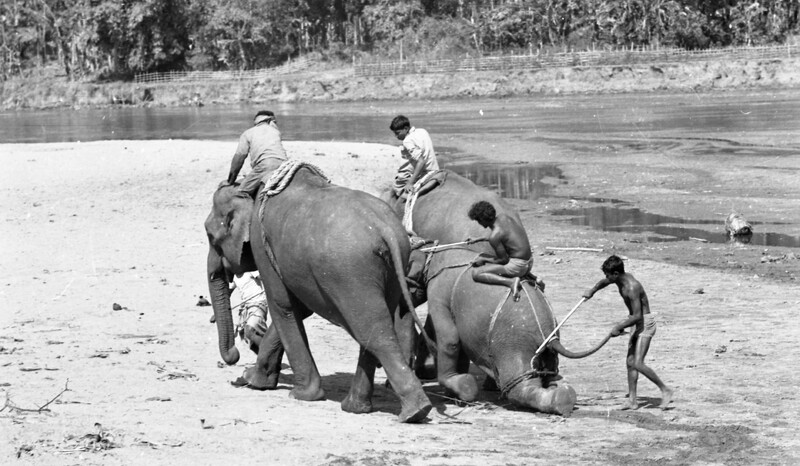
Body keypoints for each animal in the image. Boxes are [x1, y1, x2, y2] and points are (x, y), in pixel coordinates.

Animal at [205, 162, 433, 423]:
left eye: (211, 236)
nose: (234, 356)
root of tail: (386, 230)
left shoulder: (261, 243)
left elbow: (283, 305)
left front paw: (297, 393)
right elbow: (299, 308)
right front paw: (254, 378)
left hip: (351, 274)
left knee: (374, 332)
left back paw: (414, 412)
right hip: (390, 271)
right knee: (373, 329)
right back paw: (356, 407)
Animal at [385, 170, 611, 416]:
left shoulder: (440, 289)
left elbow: (449, 336)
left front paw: (456, 387)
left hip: (513, 345)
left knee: (522, 385)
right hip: (542, 353)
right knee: (554, 380)